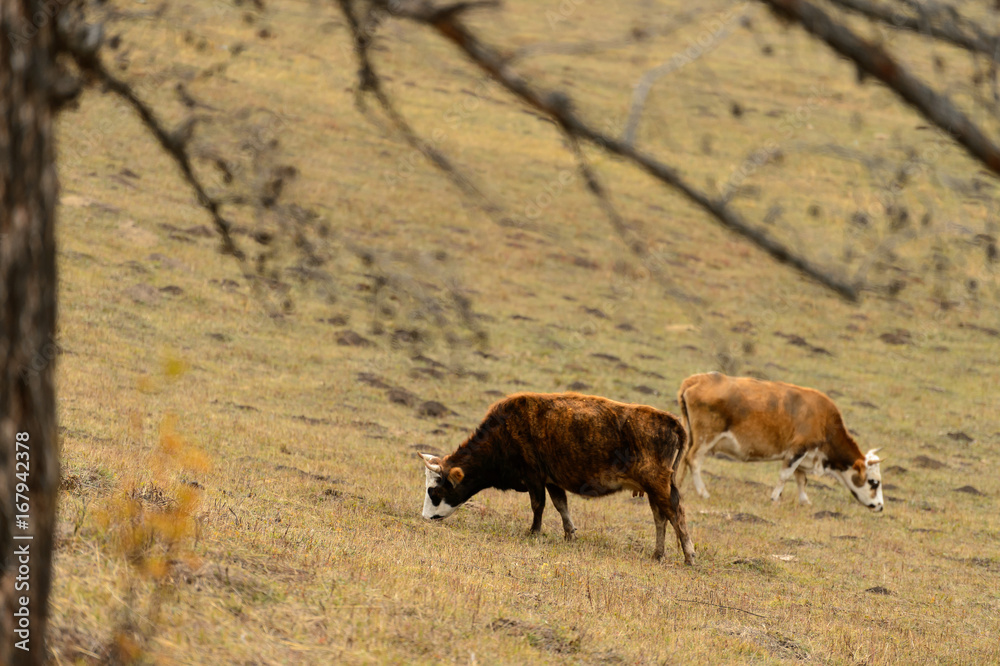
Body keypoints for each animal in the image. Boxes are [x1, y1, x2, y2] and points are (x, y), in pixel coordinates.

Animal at [418, 392, 696, 564]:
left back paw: (689, 556)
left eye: (435, 490)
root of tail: (672, 422)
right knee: (660, 518)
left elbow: (538, 506)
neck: (504, 431)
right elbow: (561, 506)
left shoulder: (534, 477)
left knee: (675, 514)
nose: (426, 518)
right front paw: (570, 535)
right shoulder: (552, 481)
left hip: (658, 485)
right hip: (653, 489)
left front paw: (533, 532)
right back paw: (657, 554)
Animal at [675, 372, 884, 511]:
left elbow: (801, 479)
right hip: (705, 438)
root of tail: (696, 379)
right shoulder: (798, 449)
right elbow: (785, 475)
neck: (825, 421)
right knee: (693, 460)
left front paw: (804, 501)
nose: (880, 506)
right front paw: (775, 497)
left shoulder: (804, 455)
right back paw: (703, 492)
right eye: (873, 482)